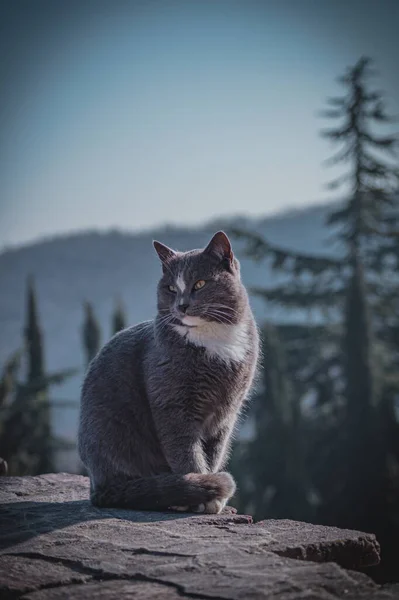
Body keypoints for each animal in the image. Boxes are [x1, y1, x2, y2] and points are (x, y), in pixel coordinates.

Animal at [78, 232, 260, 512]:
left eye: (200, 283)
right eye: (171, 289)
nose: (182, 305)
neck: (213, 339)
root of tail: (96, 488)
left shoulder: (226, 411)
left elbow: (214, 452)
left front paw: (210, 493)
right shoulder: (173, 404)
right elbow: (186, 451)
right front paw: (205, 494)